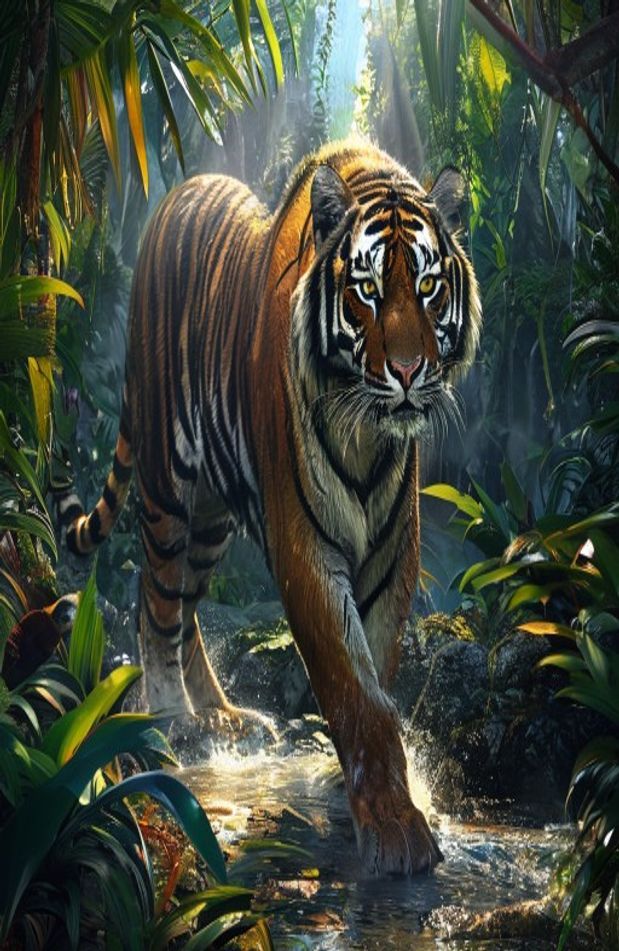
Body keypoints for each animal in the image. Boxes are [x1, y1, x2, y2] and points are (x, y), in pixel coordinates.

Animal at [61, 140, 481, 875]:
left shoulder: (392, 556)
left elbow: (374, 667)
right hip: (168, 488)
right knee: (154, 598)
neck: (366, 430)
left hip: (211, 521)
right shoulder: (304, 546)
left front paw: (353, 786)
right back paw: (172, 718)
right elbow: (349, 684)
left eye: (428, 287)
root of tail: (175, 197)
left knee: (184, 609)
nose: (407, 373)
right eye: (366, 290)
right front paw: (393, 826)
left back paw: (224, 713)